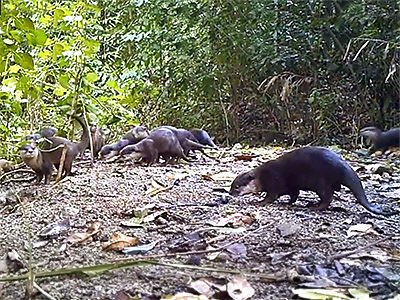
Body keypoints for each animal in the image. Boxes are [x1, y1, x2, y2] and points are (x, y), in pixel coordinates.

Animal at [231, 146, 394, 214]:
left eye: (237, 186)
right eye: (232, 185)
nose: (230, 193)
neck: (261, 177)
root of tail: (342, 165)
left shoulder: (274, 180)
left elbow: (272, 196)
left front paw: (259, 201)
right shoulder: (291, 186)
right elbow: (294, 194)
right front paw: (289, 202)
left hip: (320, 181)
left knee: (328, 196)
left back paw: (315, 206)